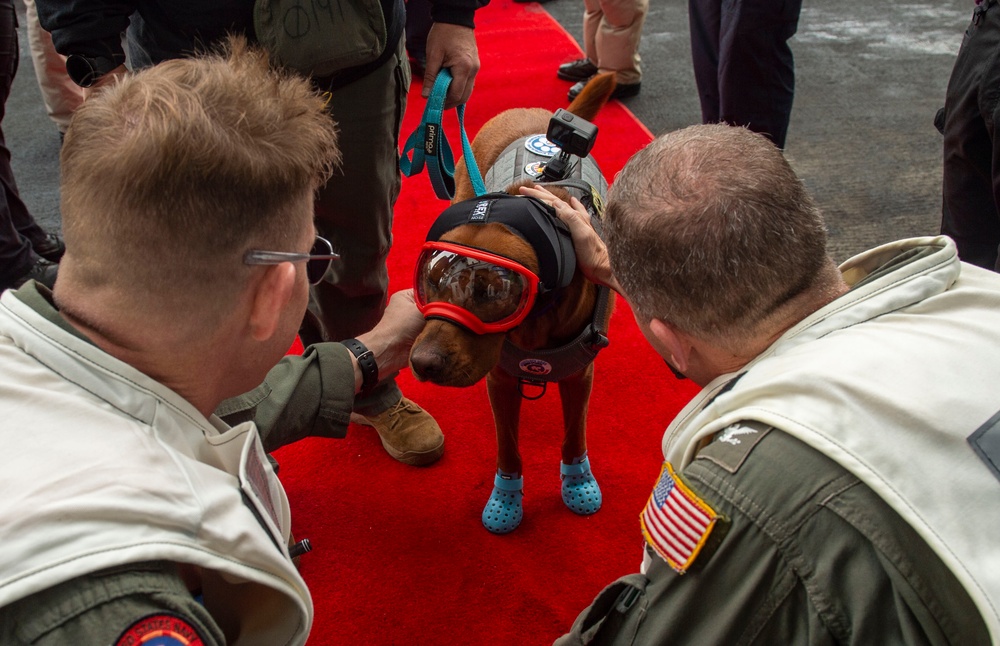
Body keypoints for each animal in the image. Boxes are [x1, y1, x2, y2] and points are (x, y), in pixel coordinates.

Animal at [408, 73, 612, 536]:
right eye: (433, 280)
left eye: (491, 291)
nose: (422, 364)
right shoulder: (499, 380)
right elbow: (508, 446)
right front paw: (506, 497)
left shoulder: (579, 377)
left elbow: (574, 435)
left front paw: (577, 481)